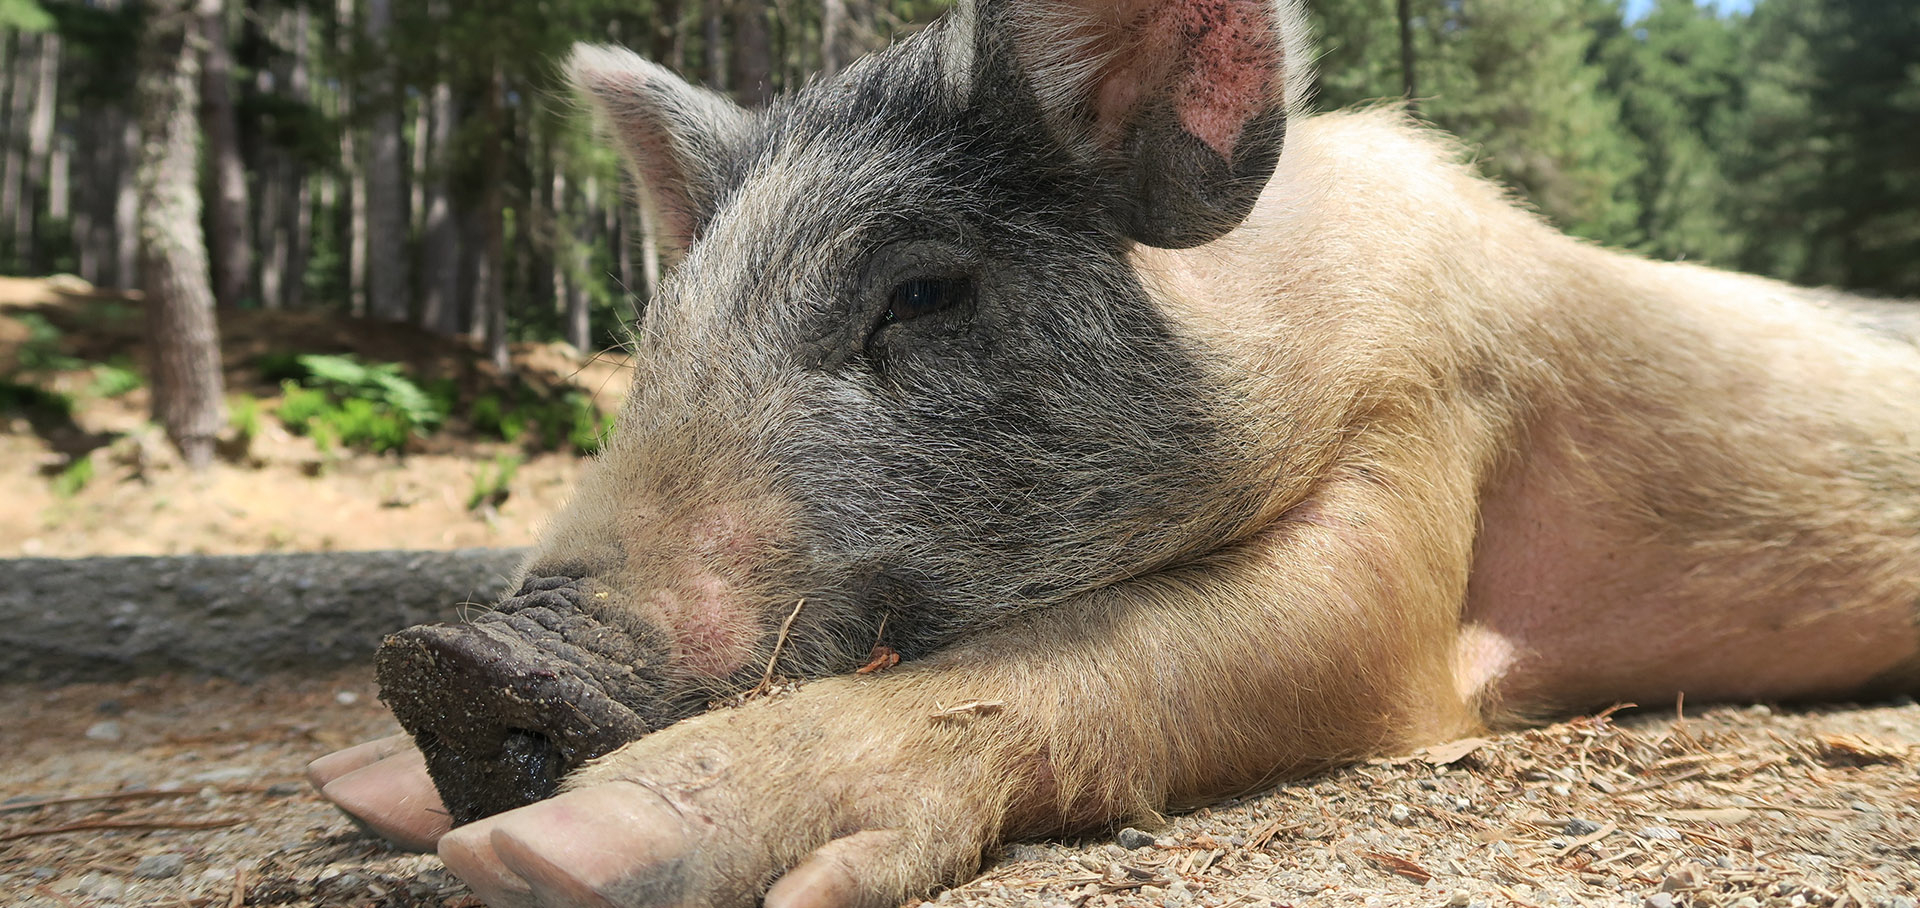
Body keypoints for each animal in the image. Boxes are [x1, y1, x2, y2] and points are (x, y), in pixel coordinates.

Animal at [308, 0, 1920, 905]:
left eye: (926, 291)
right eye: (663, 324)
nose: (455, 660)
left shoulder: (1430, 444)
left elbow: (1179, 644)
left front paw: (547, 861)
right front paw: (360, 790)